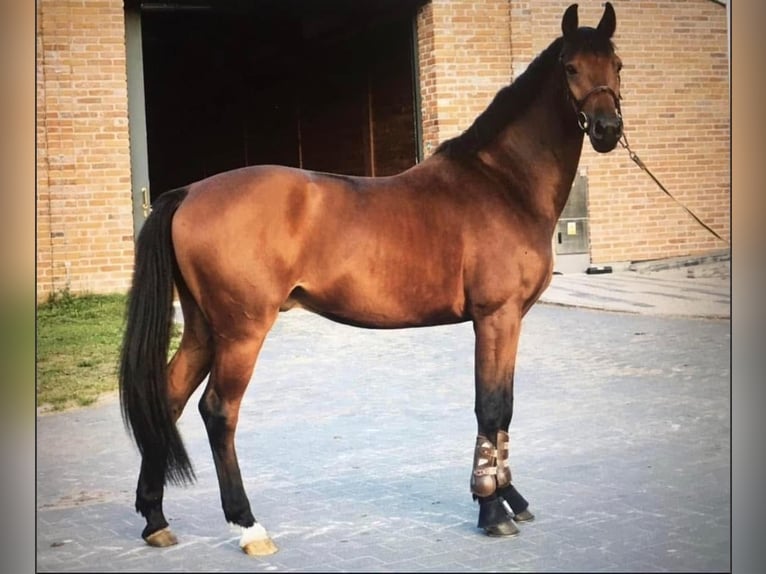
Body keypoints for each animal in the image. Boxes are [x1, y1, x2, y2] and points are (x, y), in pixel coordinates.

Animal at [119, 2, 623, 556]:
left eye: (617, 65)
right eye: (570, 68)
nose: (607, 128)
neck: (501, 184)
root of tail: (188, 192)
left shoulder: (510, 321)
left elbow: (505, 409)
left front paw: (511, 498)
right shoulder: (496, 316)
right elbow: (489, 407)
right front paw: (491, 509)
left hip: (203, 328)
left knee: (169, 397)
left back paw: (154, 517)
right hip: (242, 331)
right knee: (218, 411)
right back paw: (249, 526)